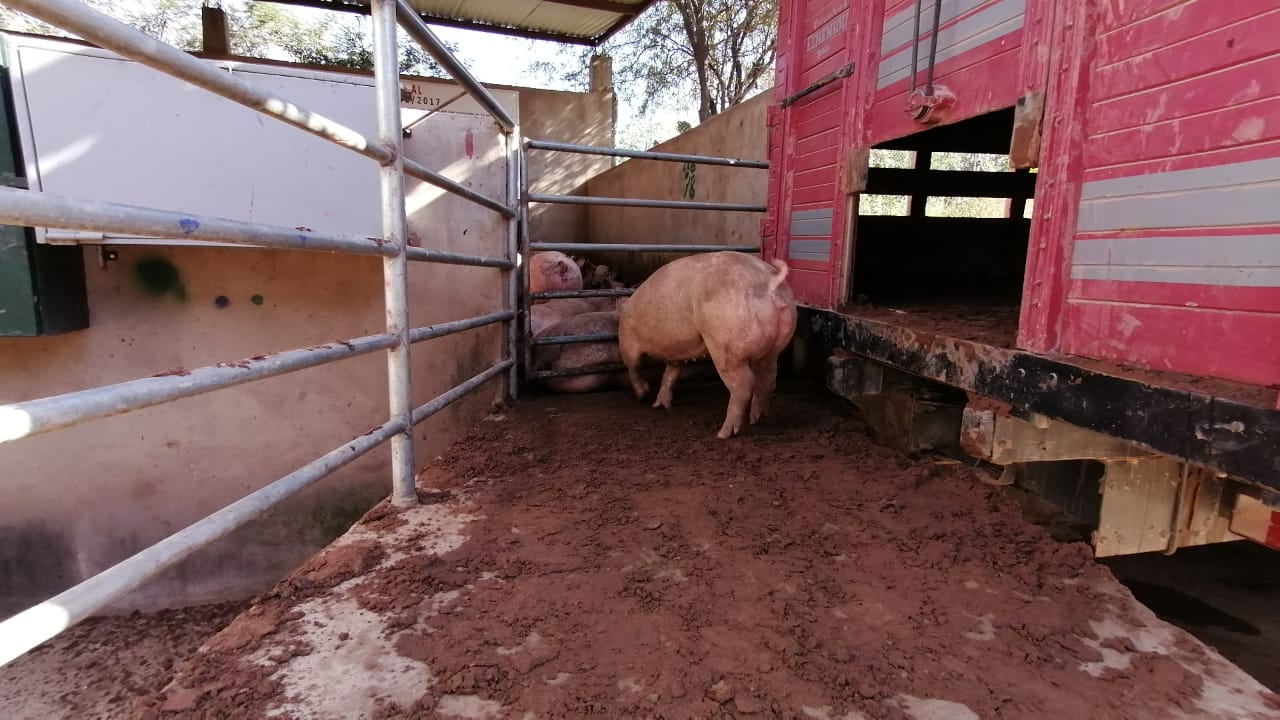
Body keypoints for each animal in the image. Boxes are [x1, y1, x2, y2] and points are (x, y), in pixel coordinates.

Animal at [618, 251, 797, 439]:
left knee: (744, 384)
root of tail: (770, 280)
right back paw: (757, 419)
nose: (651, 402)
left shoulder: (627, 339)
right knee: (767, 379)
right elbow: (671, 372)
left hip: (726, 347)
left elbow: (634, 367)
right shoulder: (677, 352)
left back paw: (723, 434)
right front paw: (660, 406)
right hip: (775, 347)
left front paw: (643, 395)